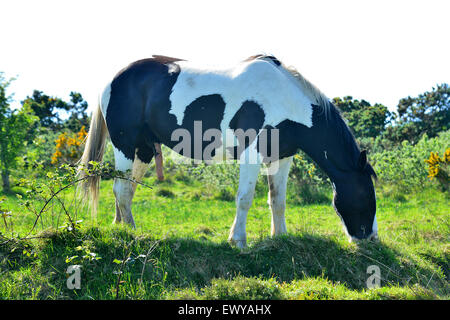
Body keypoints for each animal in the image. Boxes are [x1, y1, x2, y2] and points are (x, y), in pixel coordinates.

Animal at [79, 54, 378, 248]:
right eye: (365, 194)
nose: (370, 238)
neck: (286, 98)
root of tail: (113, 80)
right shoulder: (252, 154)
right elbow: (245, 198)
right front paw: (238, 240)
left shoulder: (282, 158)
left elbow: (278, 200)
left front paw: (280, 237)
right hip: (125, 145)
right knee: (121, 189)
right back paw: (131, 232)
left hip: (143, 149)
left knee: (127, 190)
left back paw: (120, 228)